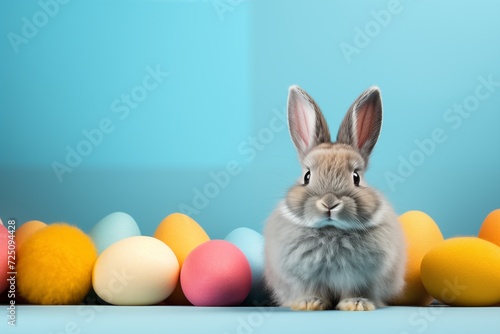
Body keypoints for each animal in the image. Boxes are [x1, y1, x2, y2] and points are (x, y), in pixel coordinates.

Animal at [264, 85, 404, 312]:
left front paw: (356, 305)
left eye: (356, 177)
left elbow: (355, 291)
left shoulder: (359, 278)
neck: (331, 231)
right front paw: (309, 303)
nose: (329, 203)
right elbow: (311, 290)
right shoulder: (305, 278)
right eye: (307, 176)